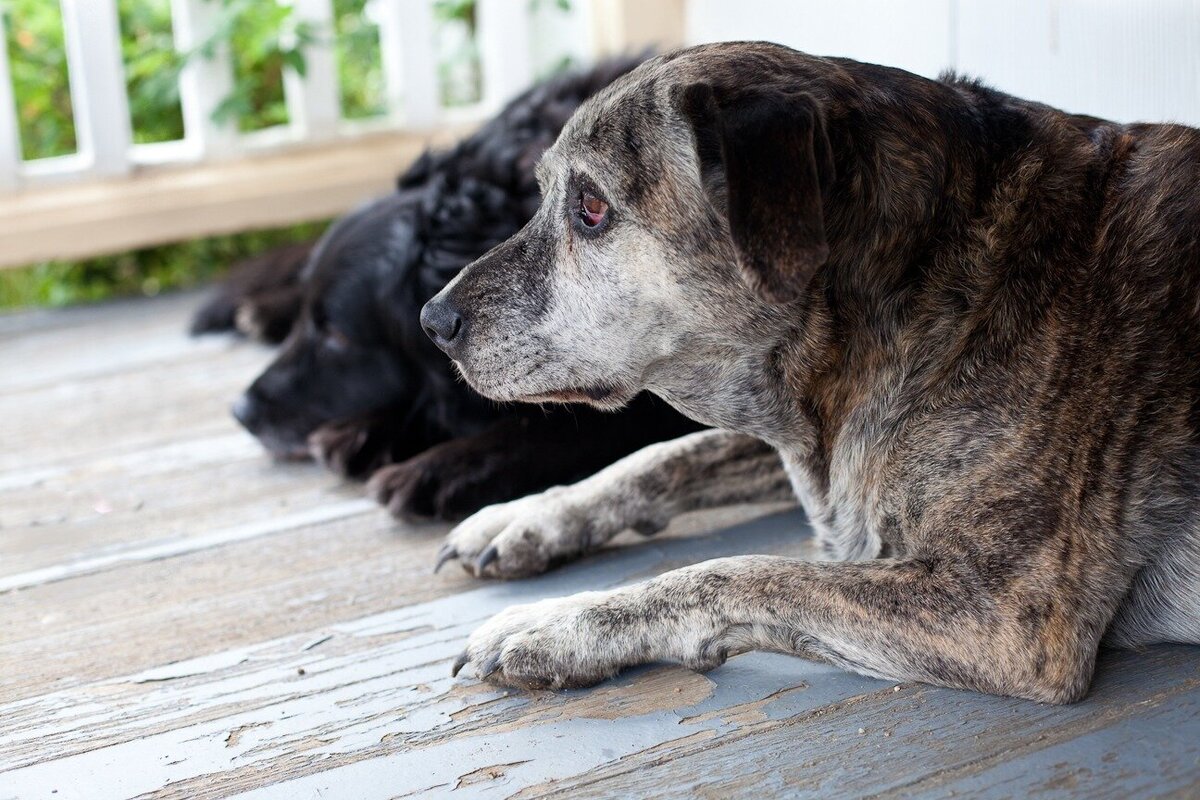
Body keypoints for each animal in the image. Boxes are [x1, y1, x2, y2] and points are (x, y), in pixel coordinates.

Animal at [417, 43, 1195, 700]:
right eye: (544, 192)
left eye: (591, 207)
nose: (432, 321)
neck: (925, 286)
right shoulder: (810, 441)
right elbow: (664, 455)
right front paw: (532, 515)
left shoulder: (1002, 615)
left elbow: (736, 572)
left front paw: (561, 621)